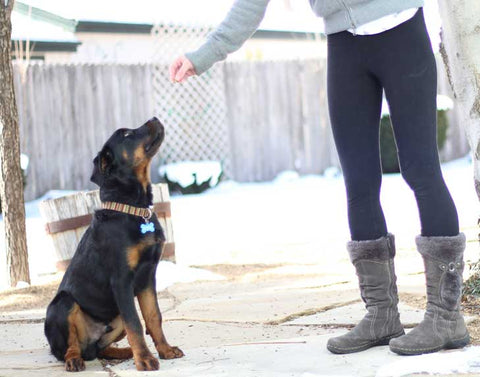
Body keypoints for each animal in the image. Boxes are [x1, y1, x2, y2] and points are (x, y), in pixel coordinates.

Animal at [44, 117, 184, 370]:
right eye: (127, 135)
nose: (155, 119)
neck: (133, 209)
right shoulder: (121, 280)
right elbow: (136, 323)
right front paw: (145, 360)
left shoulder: (147, 276)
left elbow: (153, 317)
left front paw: (165, 351)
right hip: (63, 303)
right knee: (70, 347)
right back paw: (74, 361)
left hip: (113, 318)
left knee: (100, 349)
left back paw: (125, 352)